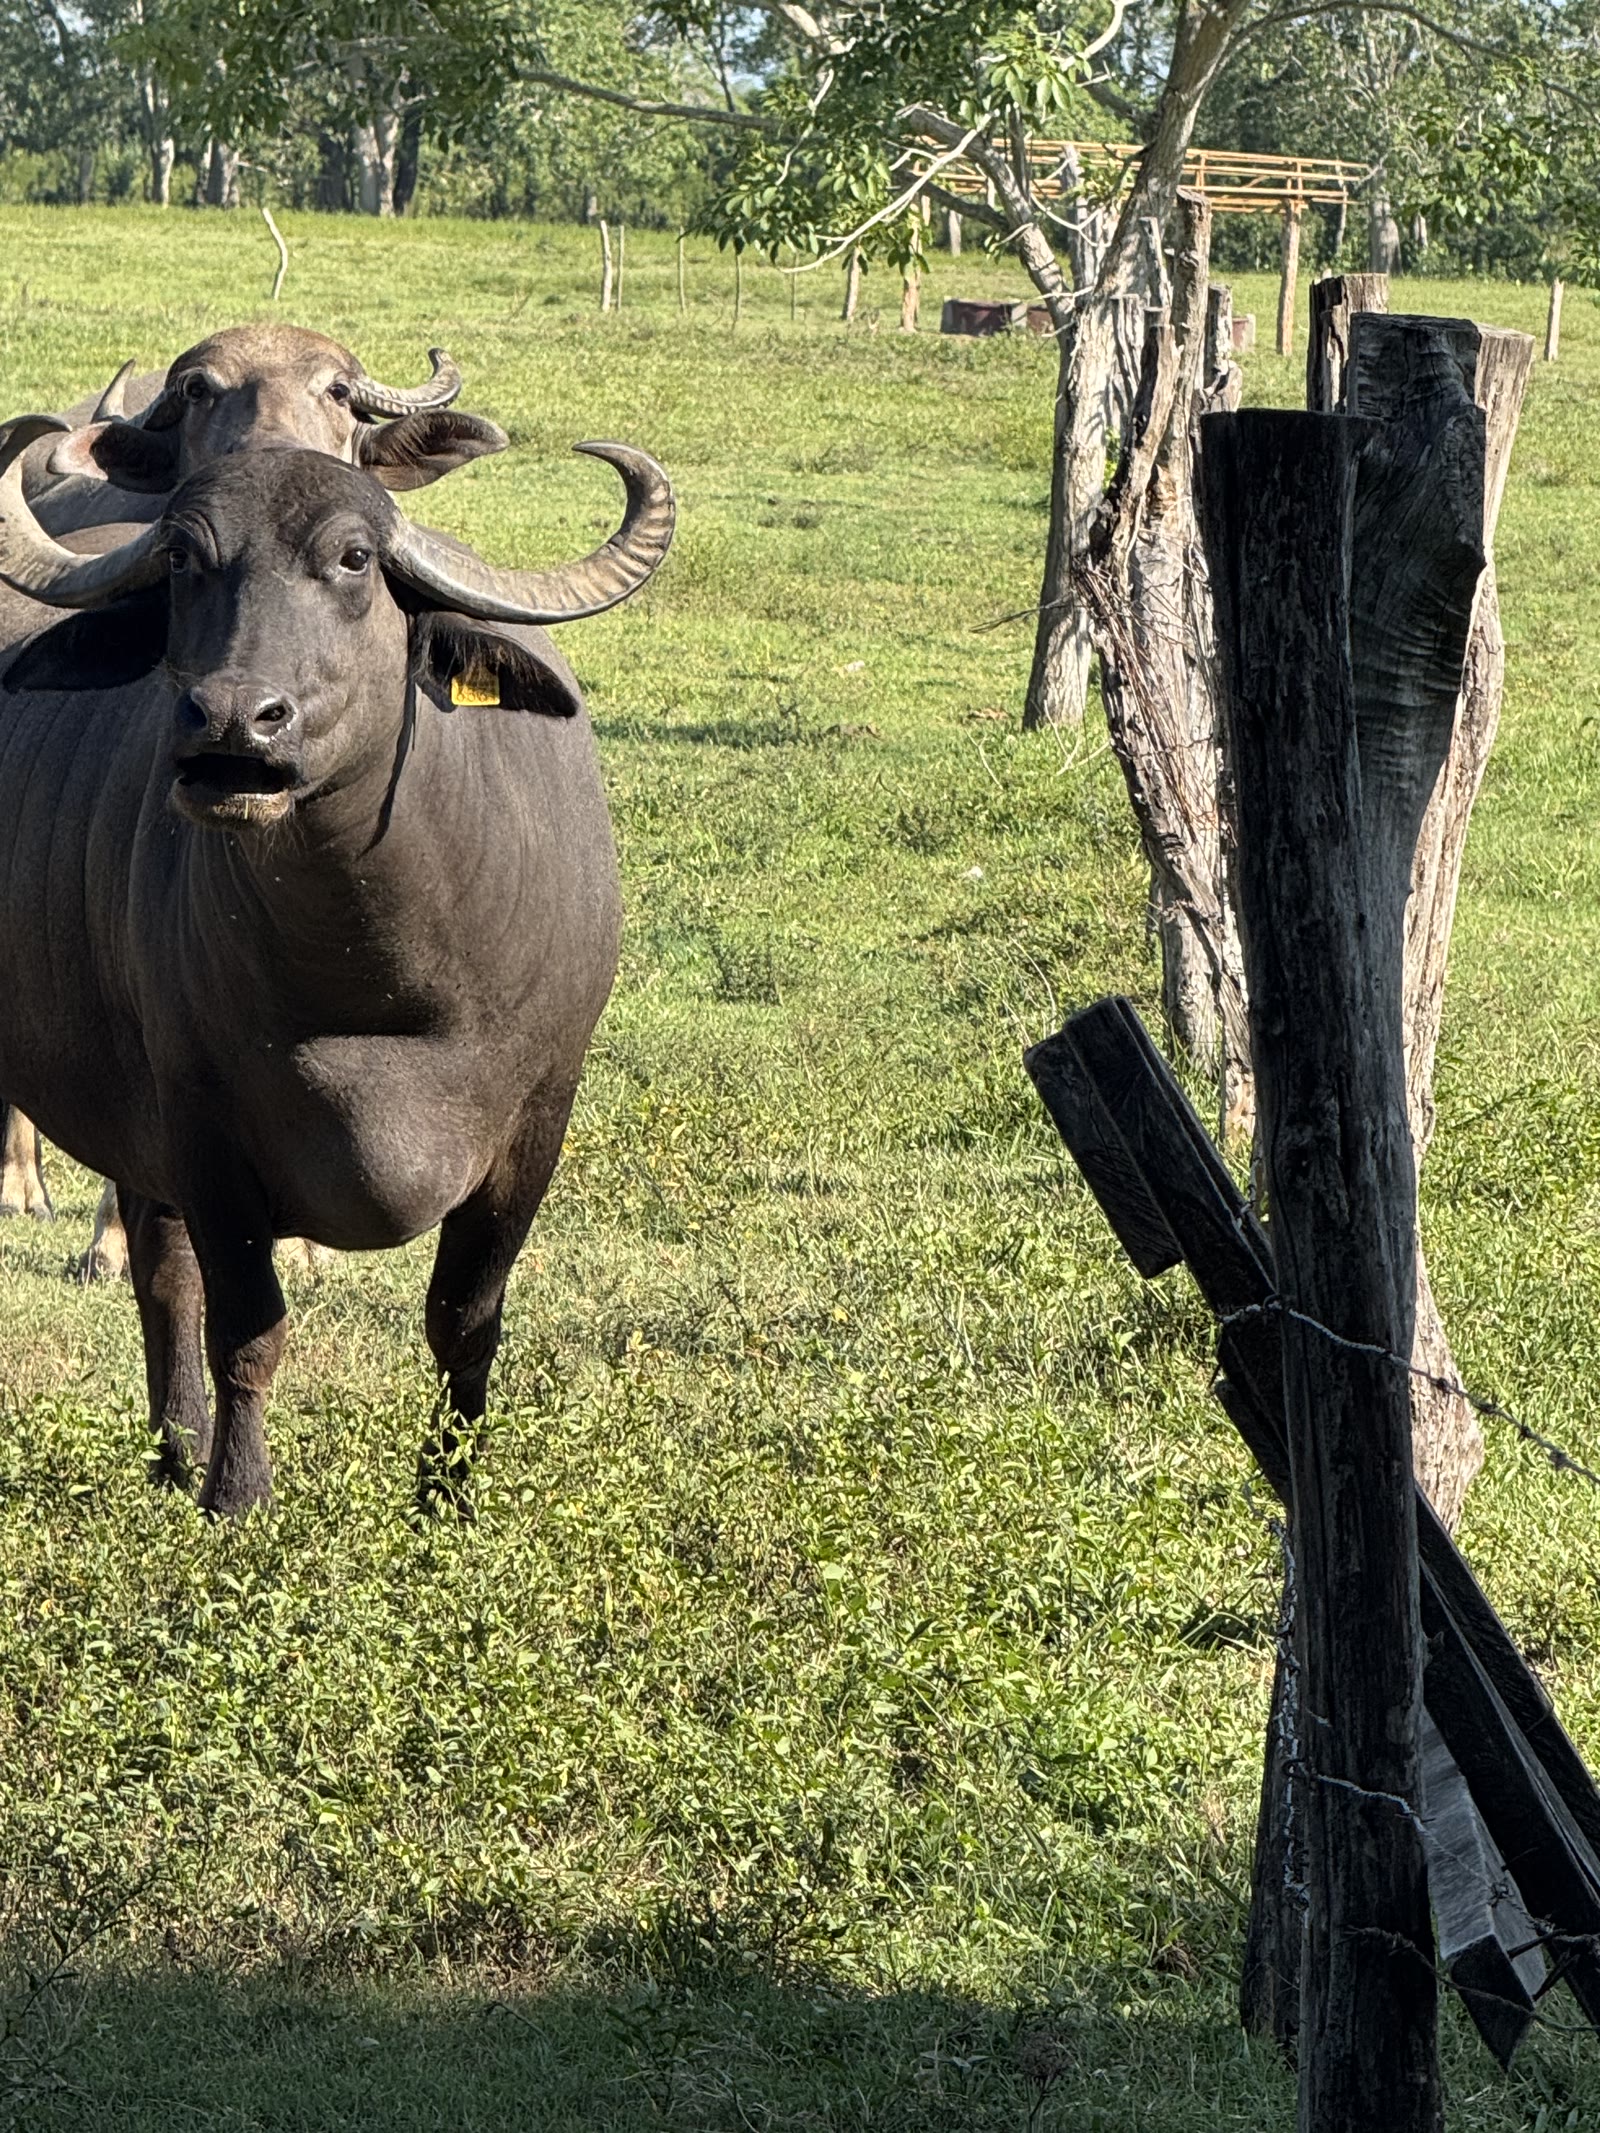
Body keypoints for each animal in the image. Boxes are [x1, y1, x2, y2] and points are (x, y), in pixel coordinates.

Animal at [0, 424, 672, 1514]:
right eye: (183, 557)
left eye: (354, 558)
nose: (234, 721)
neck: (377, 979)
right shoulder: (204, 1122)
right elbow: (245, 1324)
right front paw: (238, 1495)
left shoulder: (538, 1121)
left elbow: (464, 1319)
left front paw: (447, 1496)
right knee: (165, 1269)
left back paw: (174, 1451)